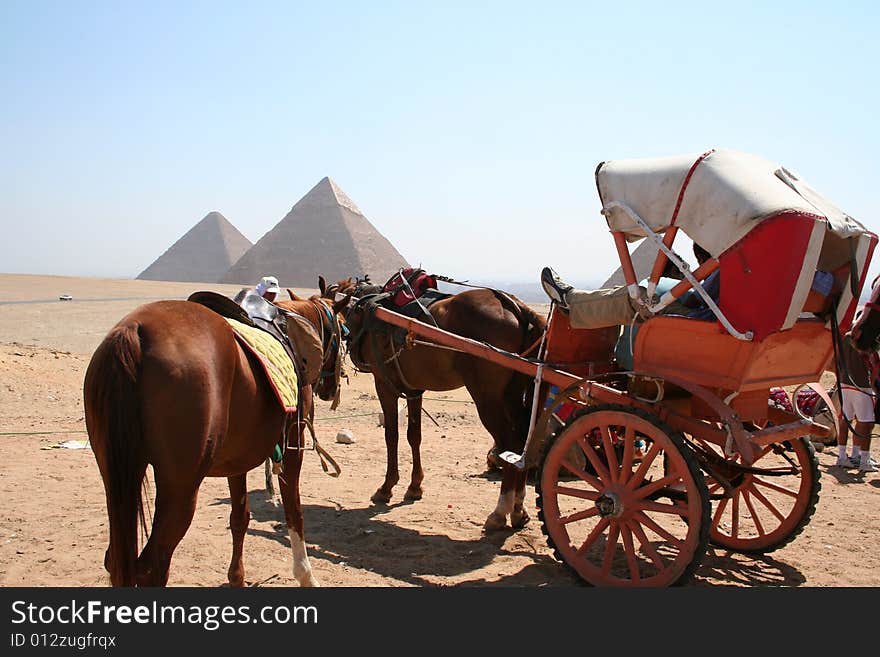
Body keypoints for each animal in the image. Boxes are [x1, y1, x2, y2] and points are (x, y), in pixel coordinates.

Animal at [84, 290, 348, 588]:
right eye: (343, 331)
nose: (330, 389)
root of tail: (135, 330)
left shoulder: (238, 459)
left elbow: (240, 517)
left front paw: (237, 578)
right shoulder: (294, 444)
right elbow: (295, 511)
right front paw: (306, 576)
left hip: (117, 474)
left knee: (116, 559)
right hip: (180, 487)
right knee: (153, 564)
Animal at [326, 276, 548, 528]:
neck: (365, 306)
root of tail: (516, 307)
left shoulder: (384, 384)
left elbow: (391, 436)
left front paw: (386, 488)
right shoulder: (413, 389)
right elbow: (414, 435)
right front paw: (414, 487)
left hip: (488, 397)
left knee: (508, 442)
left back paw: (500, 511)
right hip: (513, 393)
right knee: (521, 440)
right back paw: (519, 509)